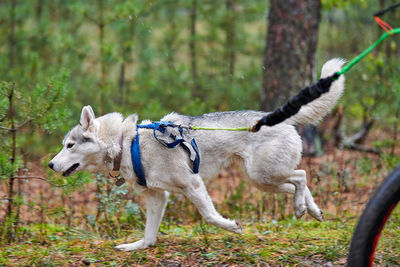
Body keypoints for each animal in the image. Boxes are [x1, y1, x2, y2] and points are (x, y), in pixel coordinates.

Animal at [49, 58, 344, 251]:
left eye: (70, 146)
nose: (50, 164)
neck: (128, 144)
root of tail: (274, 117)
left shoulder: (193, 184)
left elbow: (210, 216)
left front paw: (232, 226)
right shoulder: (158, 197)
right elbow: (149, 236)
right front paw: (136, 246)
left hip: (263, 175)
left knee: (301, 175)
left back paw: (301, 207)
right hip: (264, 181)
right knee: (298, 183)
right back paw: (311, 210)